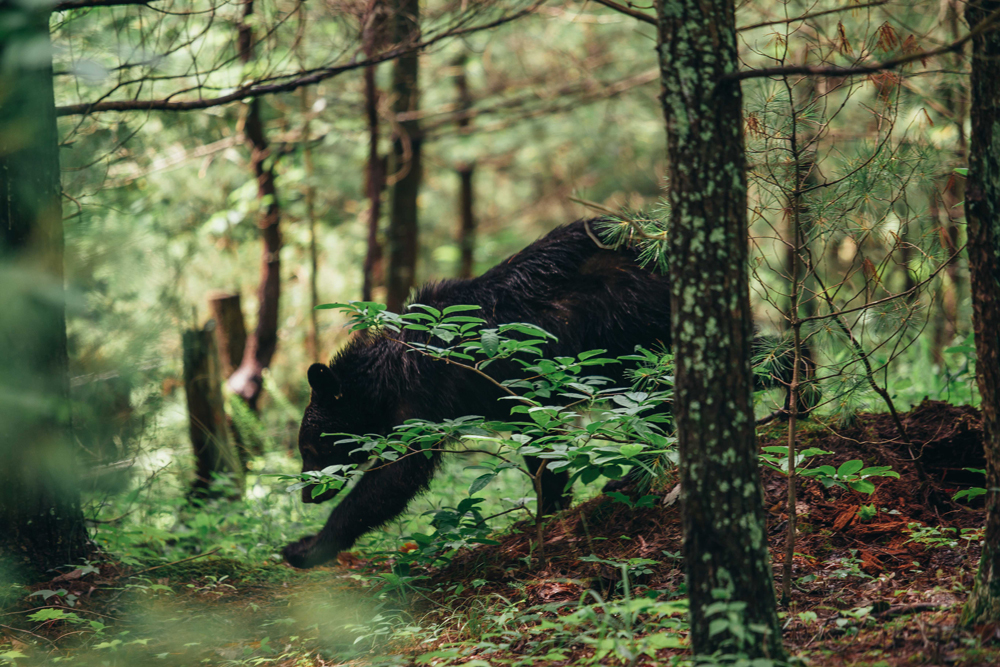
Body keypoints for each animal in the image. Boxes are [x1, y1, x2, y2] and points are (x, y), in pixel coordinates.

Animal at [280, 219, 672, 568]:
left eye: (309, 449)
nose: (307, 496)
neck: (388, 375)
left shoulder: (423, 396)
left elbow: (395, 477)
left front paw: (306, 547)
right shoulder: (512, 395)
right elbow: (539, 443)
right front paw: (550, 507)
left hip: (627, 324)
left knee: (654, 395)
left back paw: (634, 475)